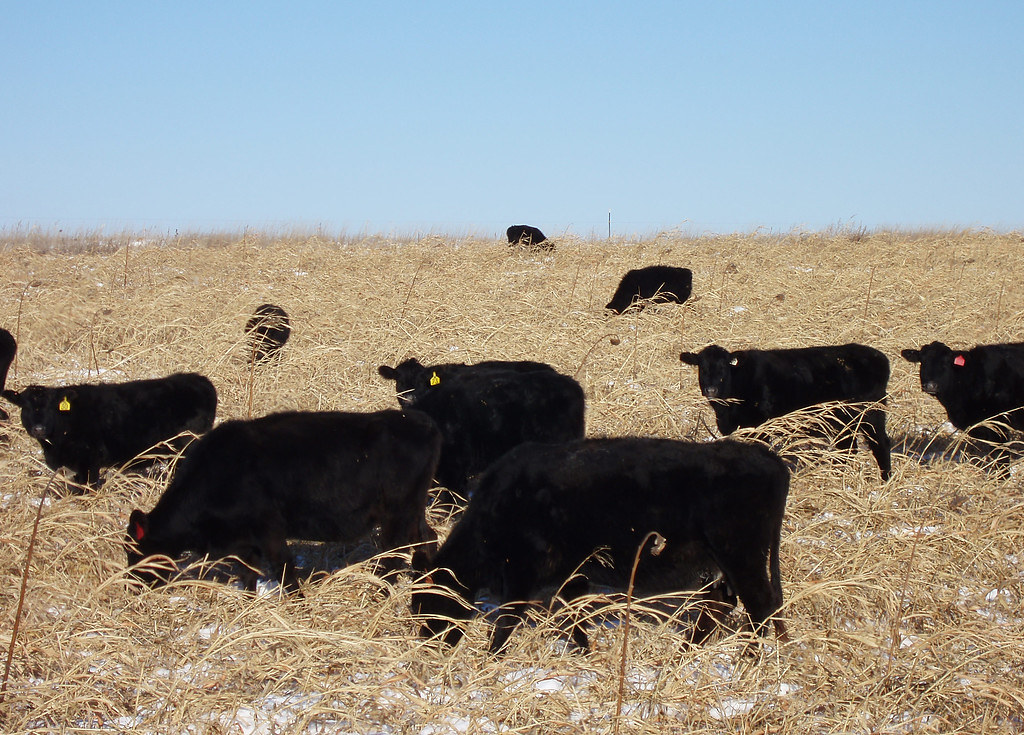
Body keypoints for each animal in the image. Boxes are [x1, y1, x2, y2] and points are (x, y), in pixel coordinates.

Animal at [123, 411, 440, 597]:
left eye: (135, 553)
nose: (131, 586)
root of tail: (422, 424)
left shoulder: (269, 530)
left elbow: (283, 570)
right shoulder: (244, 543)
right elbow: (247, 573)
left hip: (396, 514)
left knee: (394, 554)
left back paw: (380, 592)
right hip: (413, 511)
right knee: (427, 538)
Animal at [411, 438, 786, 655]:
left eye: (427, 603)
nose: (426, 646)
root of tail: (765, 456)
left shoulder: (523, 574)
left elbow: (507, 621)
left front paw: (491, 658)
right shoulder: (570, 577)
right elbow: (571, 619)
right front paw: (586, 652)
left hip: (741, 556)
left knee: (760, 607)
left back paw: (749, 658)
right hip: (723, 564)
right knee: (723, 603)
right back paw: (684, 654)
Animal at [684, 346, 892, 483]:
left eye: (723, 368)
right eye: (702, 368)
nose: (711, 389)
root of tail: (878, 356)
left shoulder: (760, 427)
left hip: (871, 413)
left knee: (879, 443)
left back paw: (885, 480)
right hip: (844, 421)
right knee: (848, 448)